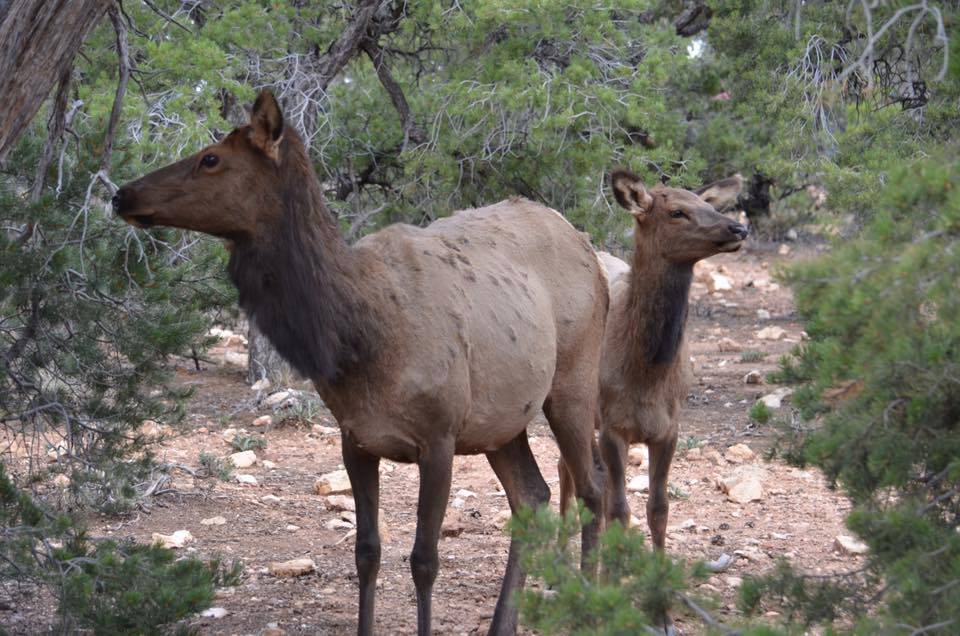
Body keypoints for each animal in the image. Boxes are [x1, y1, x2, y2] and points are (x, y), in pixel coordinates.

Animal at [112, 91, 607, 636]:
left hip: (573, 382)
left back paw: (588, 608)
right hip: (501, 422)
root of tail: (586, 245)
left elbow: (424, 560)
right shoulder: (356, 437)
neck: (360, 337)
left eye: (211, 158)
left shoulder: (440, 436)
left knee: (592, 488)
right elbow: (366, 552)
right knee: (533, 496)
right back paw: (505, 623)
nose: (122, 195)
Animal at [559, 168, 746, 632]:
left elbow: (658, 508)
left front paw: (660, 611)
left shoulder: (669, 429)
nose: (739, 228)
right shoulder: (613, 426)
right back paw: (565, 566)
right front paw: (612, 591)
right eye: (676, 211)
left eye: (710, 205)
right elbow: (619, 508)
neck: (646, 374)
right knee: (568, 475)